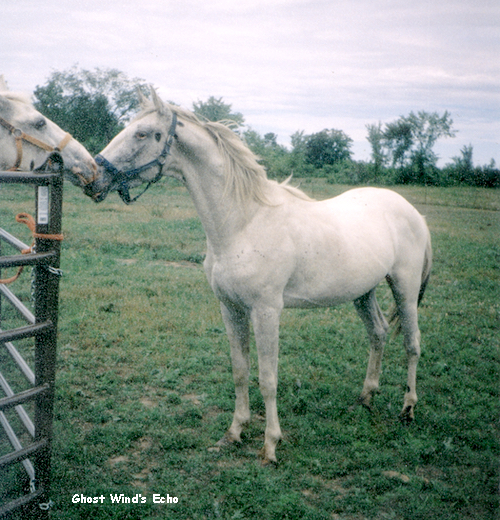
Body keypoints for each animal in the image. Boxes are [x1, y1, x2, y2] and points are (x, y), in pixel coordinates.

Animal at [90, 88, 434, 464]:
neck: (243, 223)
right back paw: (365, 398)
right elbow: (240, 371)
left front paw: (270, 444)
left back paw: (408, 410)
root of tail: (412, 212)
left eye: (141, 134)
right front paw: (233, 432)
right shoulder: (230, 309)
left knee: (412, 344)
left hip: (404, 288)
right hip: (363, 293)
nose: (93, 176)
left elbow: (268, 378)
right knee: (378, 333)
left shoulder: (266, 311)